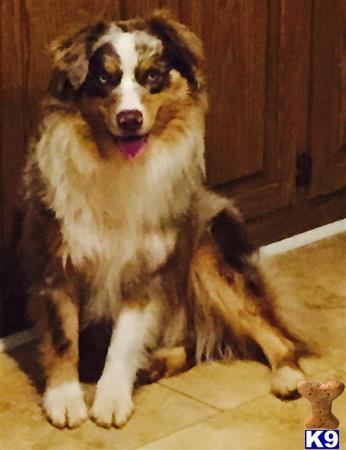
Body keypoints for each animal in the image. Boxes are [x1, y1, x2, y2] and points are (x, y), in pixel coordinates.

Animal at [21, 10, 302, 428]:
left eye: (152, 75)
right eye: (103, 78)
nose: (130, 119)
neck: (115, 163)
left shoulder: (145, 270)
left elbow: (123, 343)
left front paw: (111, 400)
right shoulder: (56, 262)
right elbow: (62, 338)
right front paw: (65, 399)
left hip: (208, 254)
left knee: (271, 329)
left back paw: (288, 375)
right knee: (190, 347)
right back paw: (153, 365)